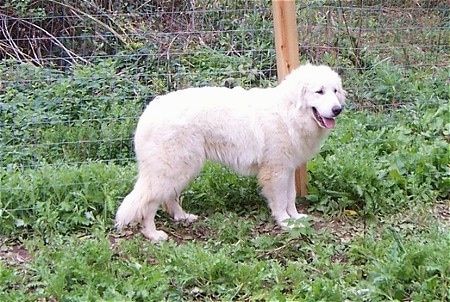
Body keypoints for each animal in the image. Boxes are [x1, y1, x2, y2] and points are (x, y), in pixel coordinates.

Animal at [115, 64, 344, 243]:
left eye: (335, 91)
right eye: (319, 91)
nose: (337, 109)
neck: (288, 113)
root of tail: (149, 111)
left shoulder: (287, 168)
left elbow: (290, 197)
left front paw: (296, 218)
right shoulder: (276, 171)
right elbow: (280, 201)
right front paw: (285, 223)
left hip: (183, 168)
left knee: (169, 197)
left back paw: (182, 217)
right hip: (172, 169)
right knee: (148, 204)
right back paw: (153, 234)